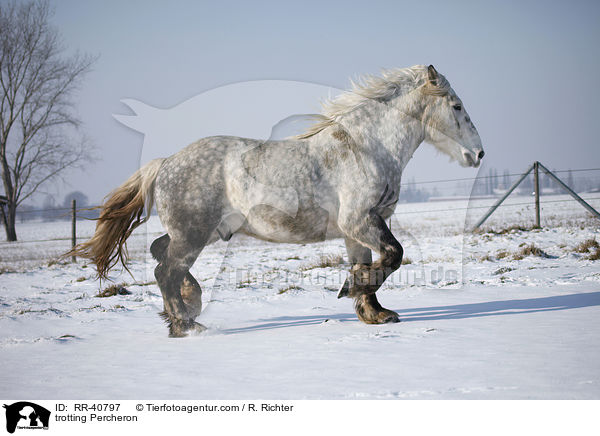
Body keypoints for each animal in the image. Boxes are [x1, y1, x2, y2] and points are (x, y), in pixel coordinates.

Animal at [70, 63, 482, 338]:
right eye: (457, 106)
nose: (478, 154)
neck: (366, 147)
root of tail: (166, 162)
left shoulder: (357, 229)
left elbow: (369, 263)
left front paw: (374, 312)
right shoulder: (361, 220)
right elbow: (394, 255)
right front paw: (353, 289)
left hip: (198, 233)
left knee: (160, 255)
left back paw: (189, 306)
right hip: (192, 235)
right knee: (164, 271)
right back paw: (186, 323)